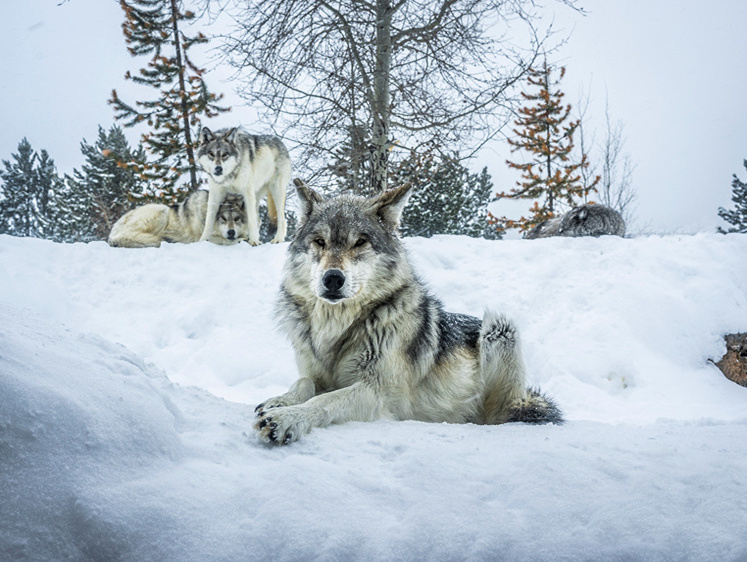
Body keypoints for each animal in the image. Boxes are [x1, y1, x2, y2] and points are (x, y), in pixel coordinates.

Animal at [106, 190, 247, 247]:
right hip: (162, 210)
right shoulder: (204, 239)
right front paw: (242, 240)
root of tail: (111, 236)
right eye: (223, 218)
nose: (231, 232)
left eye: (237, 219)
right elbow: (227, 241)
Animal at [256, 178, 560, 442]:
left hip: (500, 328)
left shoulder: (376, 392)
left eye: (360, 242)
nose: (332, 279)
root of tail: (522, 396)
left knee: (497, 415)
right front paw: (279, 401)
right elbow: (304, 383)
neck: (337, 327)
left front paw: (287, 418)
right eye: (320, 241)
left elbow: (325, 400)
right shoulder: (315, 372)